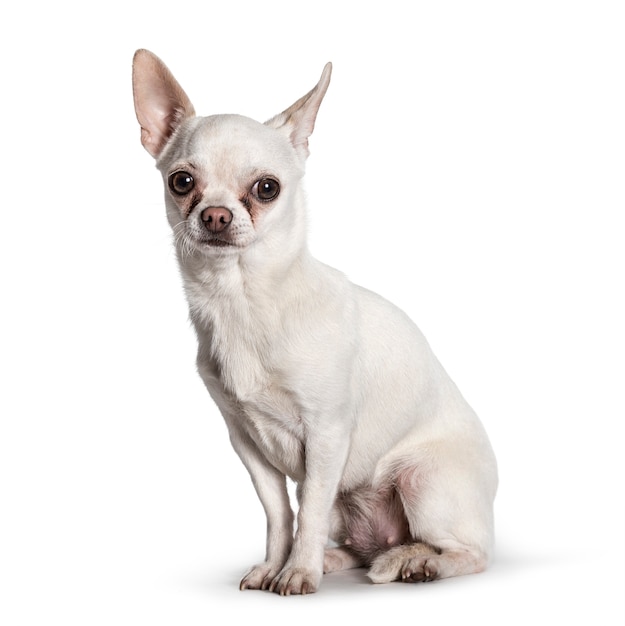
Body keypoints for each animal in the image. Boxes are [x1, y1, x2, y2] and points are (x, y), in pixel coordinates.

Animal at [132, 50, 498, 596]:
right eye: (182, 181)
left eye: (267, 188)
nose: (216, 215)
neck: (246, 301)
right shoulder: (248, 443)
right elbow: (281, 513)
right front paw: (276, 565)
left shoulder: (326, 436)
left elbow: (308, 512)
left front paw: (298, 571)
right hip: (356, 504)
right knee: (360, 545)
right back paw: (345, 557)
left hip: (424, 482)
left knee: (470, 553)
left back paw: (419, 563)